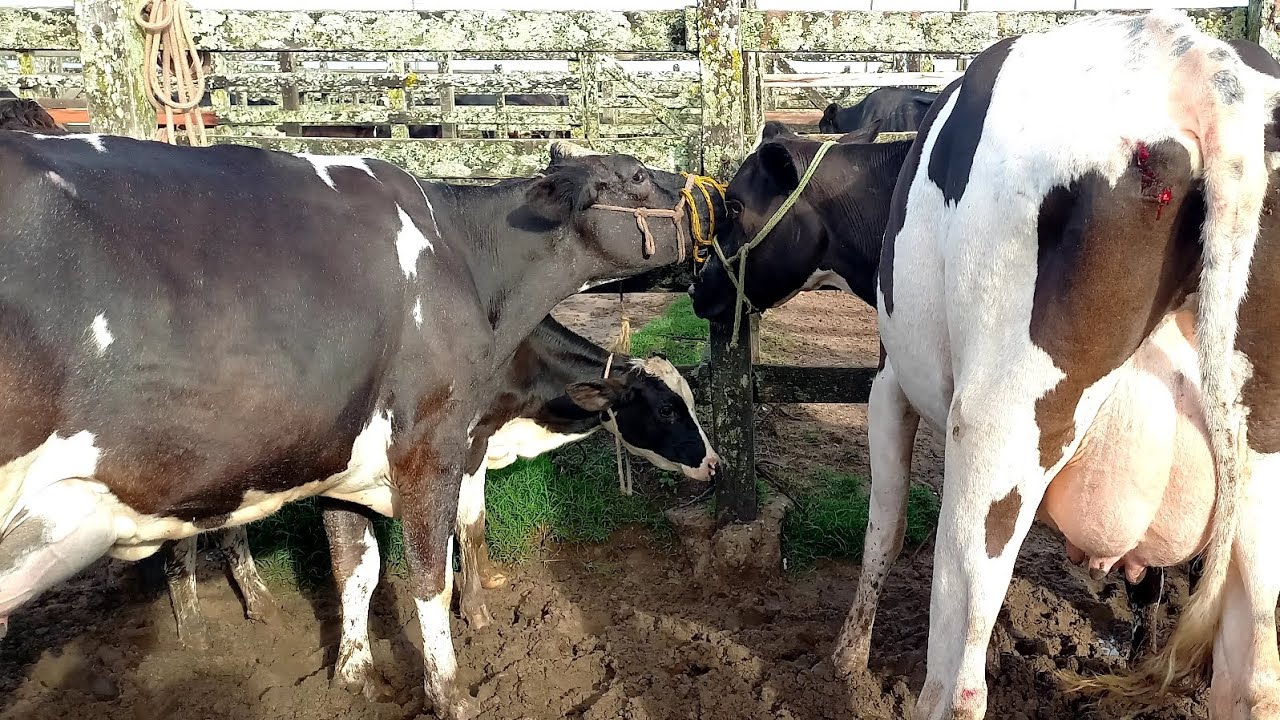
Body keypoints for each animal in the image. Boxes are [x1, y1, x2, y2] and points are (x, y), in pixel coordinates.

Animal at [0, 130, 721, 719]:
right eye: (635, 176)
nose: (710, 194)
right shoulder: (439, 442)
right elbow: (439, 561)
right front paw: (463, 661)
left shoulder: (350, 465)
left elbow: (357, 569)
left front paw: (356, 675)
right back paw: (199, 632)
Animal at [693, 12, 1280, 717]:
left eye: (731, 205)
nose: (698, 287)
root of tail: (1195, 60)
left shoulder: (889, 382)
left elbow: (884, 528)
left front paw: (847, 660)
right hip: (1259, 469)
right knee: (1255, 676)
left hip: (995, 427)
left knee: (963, 656)